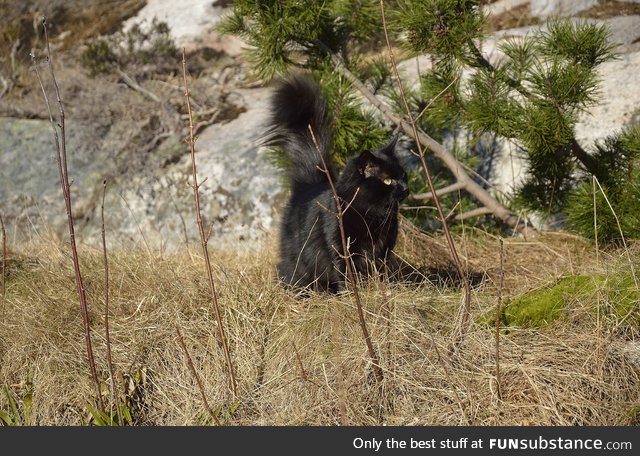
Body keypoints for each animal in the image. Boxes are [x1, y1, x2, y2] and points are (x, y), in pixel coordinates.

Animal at [264, 73, 410, 290]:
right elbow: (345, 273)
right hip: (297, 261)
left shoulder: (384, 248)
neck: (372, 214)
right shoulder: (340, 244)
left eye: (403, 176)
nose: (406, 189)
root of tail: (310, 184)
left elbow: (380, 271)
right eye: (388, 181)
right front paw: (351, 293)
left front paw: (381, 289)